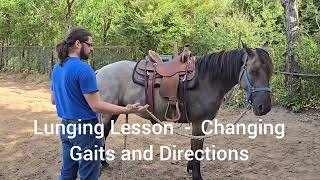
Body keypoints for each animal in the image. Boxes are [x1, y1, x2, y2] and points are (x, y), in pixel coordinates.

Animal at [95, 44, 272, 180]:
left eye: (270, 72)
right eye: (254, 71)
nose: (264, 107)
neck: (208, 79)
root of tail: (99, 72)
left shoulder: (199, 124)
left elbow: (194, 148)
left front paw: (190, 168)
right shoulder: (200, 122)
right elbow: (198, 149)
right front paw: (197, 175)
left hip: (114, 112)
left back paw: (104, 163)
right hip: (106, 115)